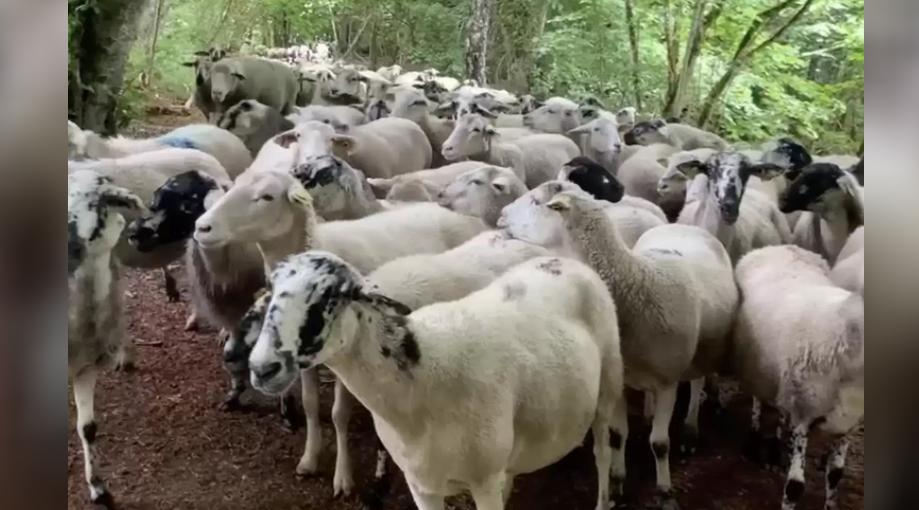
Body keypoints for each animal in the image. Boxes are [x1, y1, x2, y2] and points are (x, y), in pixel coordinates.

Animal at [193, 170, 488, 494]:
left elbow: (338, 414)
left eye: (267, 196)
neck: (317, 240)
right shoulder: (304, 358)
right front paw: (309, 459)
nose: (202, 227)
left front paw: (343, 477)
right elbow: (310, 404)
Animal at [245, 251, 626, 510]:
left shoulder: (483, 480)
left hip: (608, 384)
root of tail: (565, 260)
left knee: (602, 451)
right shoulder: (422, 485)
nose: (262, 368)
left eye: (334, 295)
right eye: (271, 289)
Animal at [502, 188, 737, 510]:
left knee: (698, 379)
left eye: (538, 202)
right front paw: (617, 482)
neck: (636, 283)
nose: (501, 214)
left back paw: (690, 428)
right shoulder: (619, 382)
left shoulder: (668, 382)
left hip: (700, 349)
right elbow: (616, 436)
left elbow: (659, 444)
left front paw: (665, 493)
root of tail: (685, 226)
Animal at [732, 245, 864, 510]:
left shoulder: (847, 424)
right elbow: (794, 487)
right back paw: (754, 441)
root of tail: (778, 246)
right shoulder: (804, 412)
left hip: (785, 381)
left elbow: (835, 476)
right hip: (755, 366)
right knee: (757, 401)